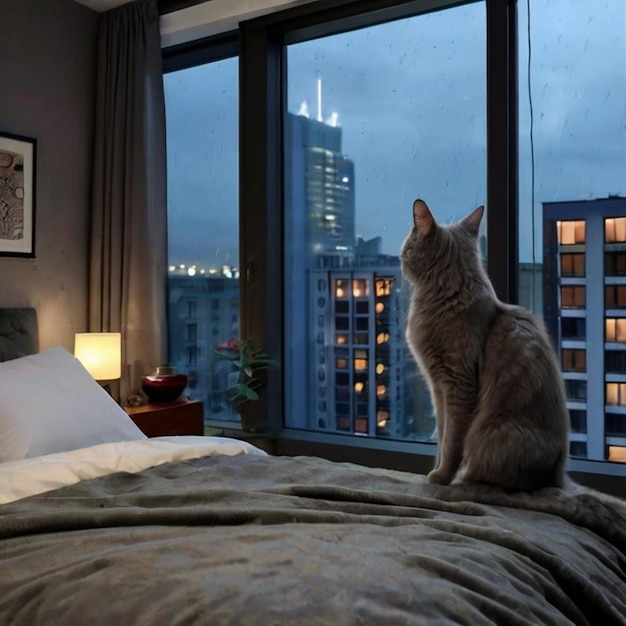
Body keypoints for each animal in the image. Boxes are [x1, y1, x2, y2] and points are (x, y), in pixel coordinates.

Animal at [400, 197, 572, 490]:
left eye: (407, 247)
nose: (399, 258)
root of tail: (557, 478)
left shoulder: (458, 383)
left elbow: (452, 440)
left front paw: (441, 477)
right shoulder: (438, 388)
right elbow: (443, 435)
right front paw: (436, 470)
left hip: (496, 429)